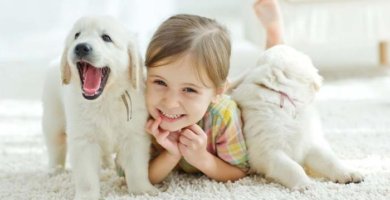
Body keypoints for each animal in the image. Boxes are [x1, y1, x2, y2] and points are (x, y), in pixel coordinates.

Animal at [42, 16, 157, 199]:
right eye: (77, 35)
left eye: (106, 38)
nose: (81, 47)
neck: (105, 99)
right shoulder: (84, 140)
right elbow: (87, 177)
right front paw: (87, 196)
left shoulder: (135, 136)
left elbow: (137, 168)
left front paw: (143, 190)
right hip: (53, 119)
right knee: (55, 146)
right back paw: (55, 170)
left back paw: (107, 165)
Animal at [232, 45, 362, 189]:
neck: (283, 99)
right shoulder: (267, 152)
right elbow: (293, 167)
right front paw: (305, 184)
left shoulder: (309, 143)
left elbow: (329, 159)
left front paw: (347, 173)